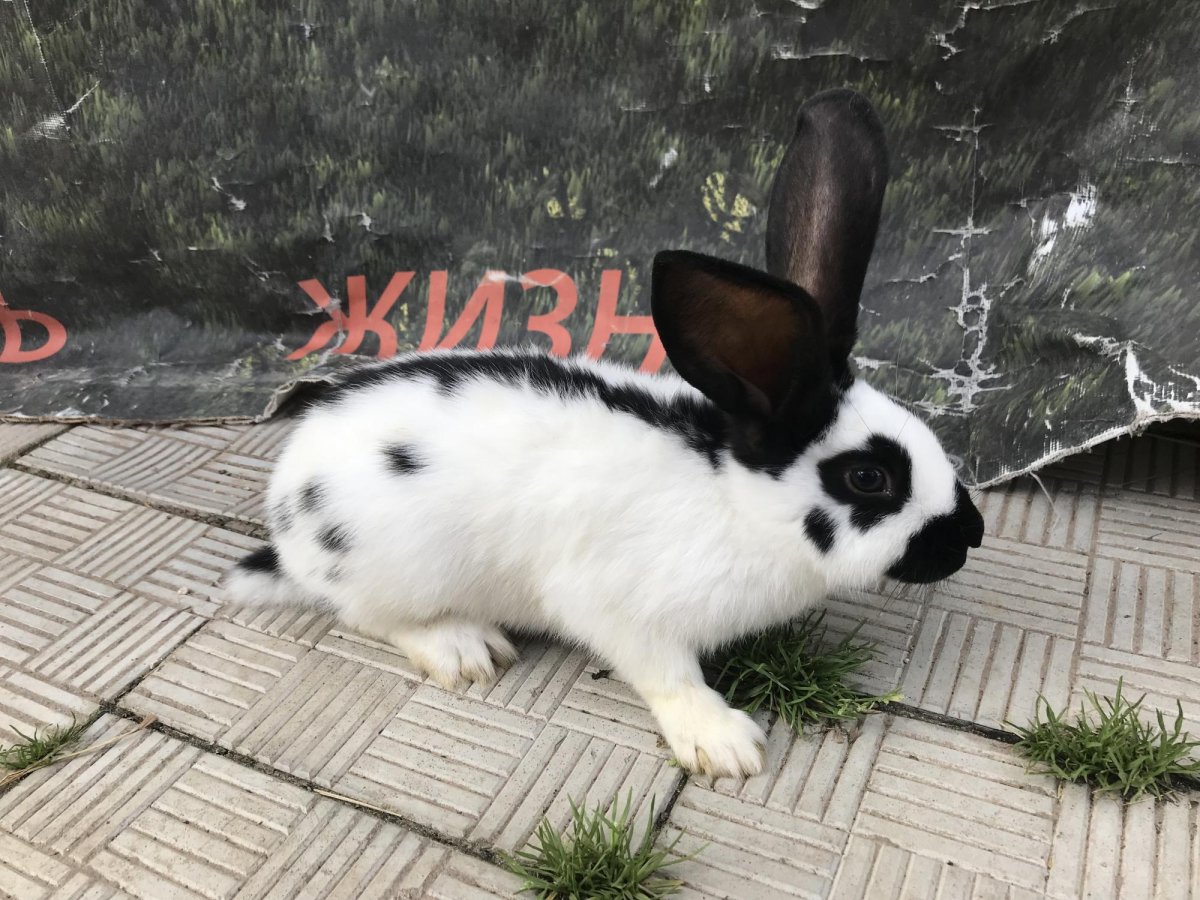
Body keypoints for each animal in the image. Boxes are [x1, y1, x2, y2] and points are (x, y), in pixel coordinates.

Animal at [225, 88, 984, 779]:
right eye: (869, 477)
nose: (971, 534)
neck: (736, 501)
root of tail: (286, 519)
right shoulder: (621, 609)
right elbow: (667, 674)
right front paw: (725, 745)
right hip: (399, 570)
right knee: (370, 617)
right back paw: (466, 649)